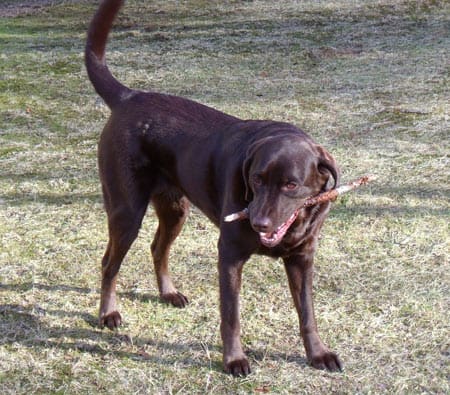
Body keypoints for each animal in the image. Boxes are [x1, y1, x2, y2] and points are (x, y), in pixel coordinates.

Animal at [86, 0, 342, 378]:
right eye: (256, 180)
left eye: (291, 184)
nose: (259, 223)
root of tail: (129, 96)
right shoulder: (229, 255)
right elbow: (231, 316)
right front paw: (234, 360)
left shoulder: (302, 258)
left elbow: (307, 313)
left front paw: (318, 354)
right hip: (126, 210)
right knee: (109, 263)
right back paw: (109, 313)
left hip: (175, 209)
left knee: (157, 247)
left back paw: (169, 293)